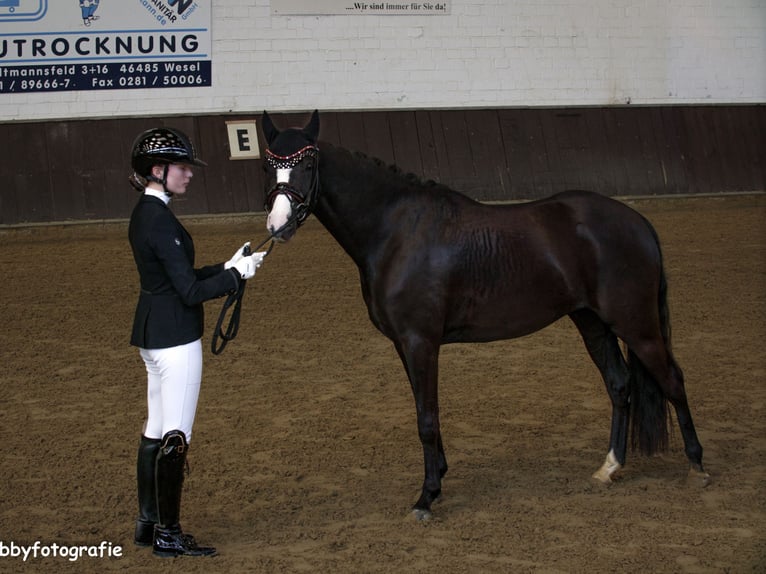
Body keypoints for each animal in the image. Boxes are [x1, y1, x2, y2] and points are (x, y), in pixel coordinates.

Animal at [260, 109, 712, 520]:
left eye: (307, 164)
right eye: (269, 164)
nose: (278, 225)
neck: (397, 232)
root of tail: (637, 221)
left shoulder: (421, 341)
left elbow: (426, 417)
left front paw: (426, 498)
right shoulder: (405, 345)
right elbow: (424, 410)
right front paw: (438, 478)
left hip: (636, 325)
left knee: (672, 379)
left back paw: (697, 466)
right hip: (592, 323)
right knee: (620, 385)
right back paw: (610, 467)